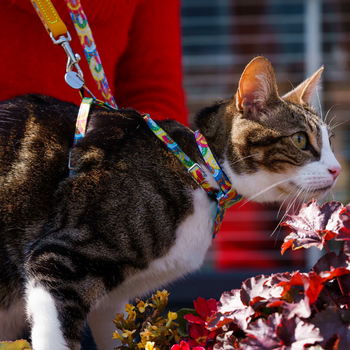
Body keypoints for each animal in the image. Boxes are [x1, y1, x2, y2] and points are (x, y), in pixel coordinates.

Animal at [0, 57, 340, 350]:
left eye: (330, 143)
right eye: (300, 140)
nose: (337, 169)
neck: (201, 170)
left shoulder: (111, 303)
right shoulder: (59, 258)